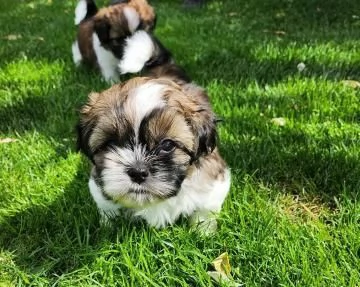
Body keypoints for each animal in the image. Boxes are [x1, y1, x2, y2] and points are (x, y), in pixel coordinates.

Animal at [76, 77, 231, 234]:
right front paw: (108, 226)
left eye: (167, 144)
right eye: (112, 143)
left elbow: (204, 210)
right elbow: (107, 208)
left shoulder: (213, 183)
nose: (138, 172)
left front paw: (203, 232)